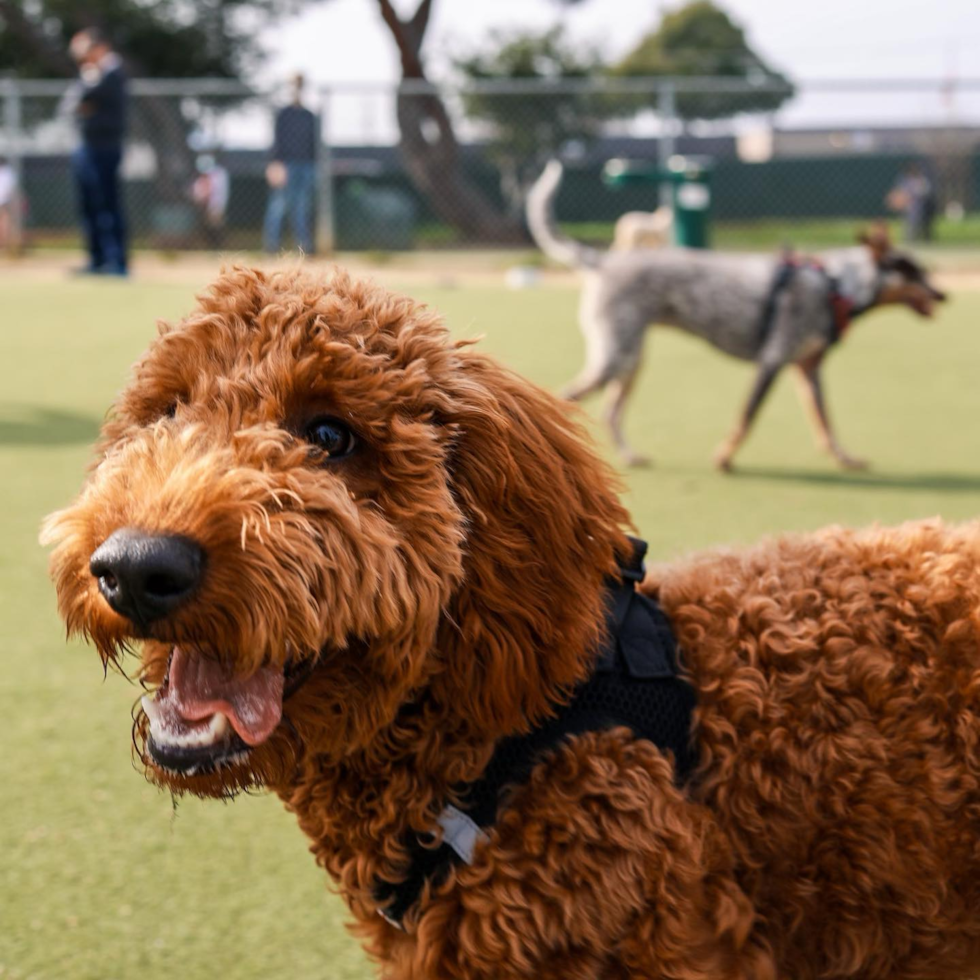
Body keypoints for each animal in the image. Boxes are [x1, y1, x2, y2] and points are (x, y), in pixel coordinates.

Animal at [528, 161, 948, 470]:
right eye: (914, 272)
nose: (943, 295)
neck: (834, 284)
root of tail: (604, 261)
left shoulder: (808, 371)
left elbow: (825, 423)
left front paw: (844, 459)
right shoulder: (772, 362)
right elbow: (746, 418)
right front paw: (724, 458)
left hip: (631, 360)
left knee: (611, 412)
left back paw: (629, 456)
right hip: (615, 359)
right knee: (562, 400)